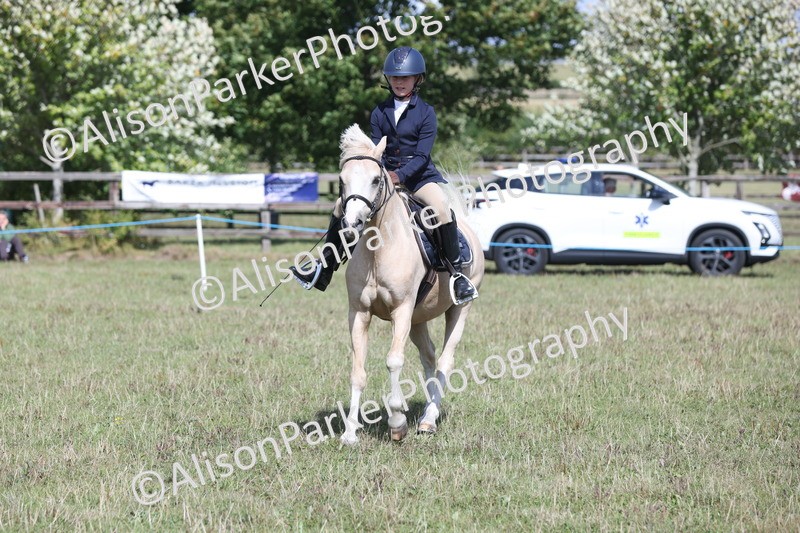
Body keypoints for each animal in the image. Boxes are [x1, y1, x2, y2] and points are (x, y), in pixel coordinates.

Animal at [334, 124, 485, 444]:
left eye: (376, 179)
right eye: (342, 180)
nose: (351, 224)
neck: (379, 249)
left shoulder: (401, 311)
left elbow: (393, 361)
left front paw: (397, 422)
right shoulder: (359, 313)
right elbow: (357, 370)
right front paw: (350, 431)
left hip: (458, 310)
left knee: (444, 361)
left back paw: (428, 420)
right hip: (418, 319)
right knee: (429, 358)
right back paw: (427, 411)